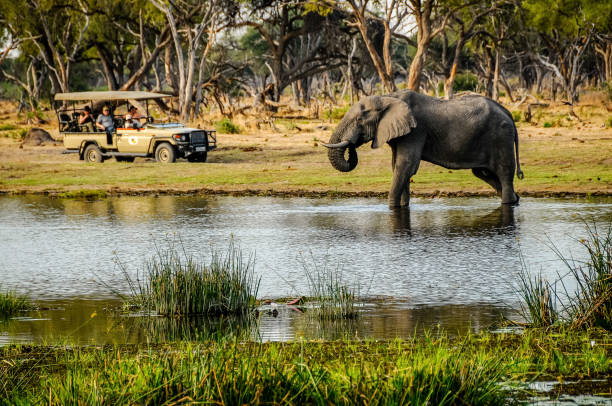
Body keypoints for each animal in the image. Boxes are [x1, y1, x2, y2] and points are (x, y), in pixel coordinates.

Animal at [322, 91, 524, 208]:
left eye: (359, 120)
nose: (351, 144)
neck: (388, 97)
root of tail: (508, 113)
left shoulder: (416, 131)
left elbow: (405, 166)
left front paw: (392, 208)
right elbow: (398, 167)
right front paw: (402, 207)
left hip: (500, 137)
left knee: (504, 173)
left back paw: (508, 202)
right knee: (484, 173)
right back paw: (515, 200)